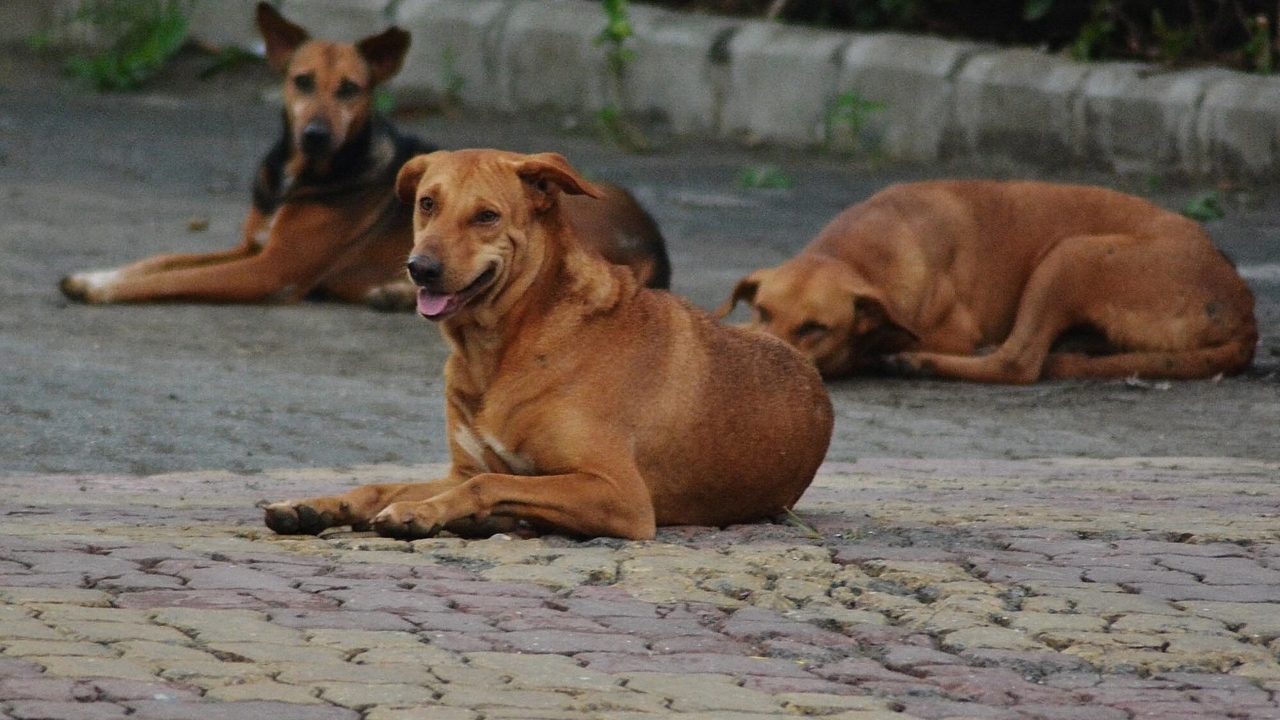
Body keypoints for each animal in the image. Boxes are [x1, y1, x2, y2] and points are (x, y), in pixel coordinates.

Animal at [60, 2, 670, 308]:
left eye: (351, 89)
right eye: (301, 81)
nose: (315, 135)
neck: (302, 174)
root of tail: (652, 238)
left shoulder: (271, 270)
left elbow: (170, 279)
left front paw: (106, 289)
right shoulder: (253, 245)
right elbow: (163, 260)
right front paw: (95, 274)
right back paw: (395, 291)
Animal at [264, 147, 834, 538]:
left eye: (487, 215)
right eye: (426, 204)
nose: (418, 269)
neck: (504, 347)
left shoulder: (619, 495)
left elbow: (491, 485)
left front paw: (421, 512)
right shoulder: (463, 466)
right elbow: (386, 484)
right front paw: (322, 505)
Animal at [721, 178, 1259, 381]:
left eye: (816, 328)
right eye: (763, 311)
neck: (858, 250)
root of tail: (1244, 305)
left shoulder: (950, 331)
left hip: (1070, 254)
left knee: (1017, 363)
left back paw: (920, 364)